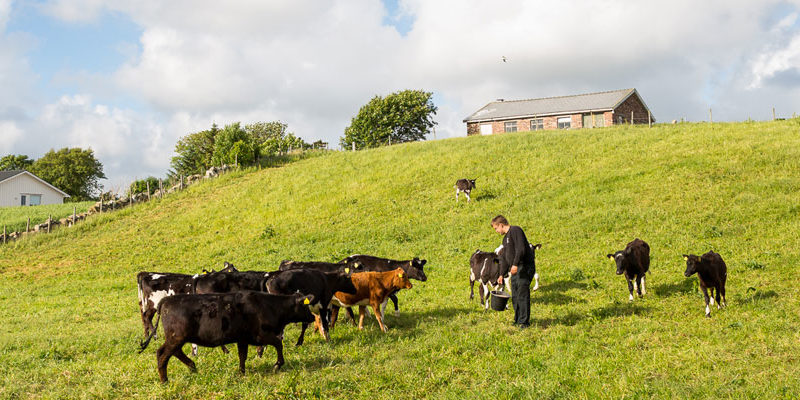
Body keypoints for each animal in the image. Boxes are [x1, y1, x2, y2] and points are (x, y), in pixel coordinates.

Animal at [139, 292, 314, 382]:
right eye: (305, 305)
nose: (313, 317)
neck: (268, 305)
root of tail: (166, 300)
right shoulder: (260, 335)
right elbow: (278, 343)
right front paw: (278, 364)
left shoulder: (243, 338)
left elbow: (242, 355)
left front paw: (241, 372)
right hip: (176, 337)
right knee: (163, 354)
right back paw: (164, 380)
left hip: (177, 338)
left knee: (172, 352)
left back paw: (192, 367)